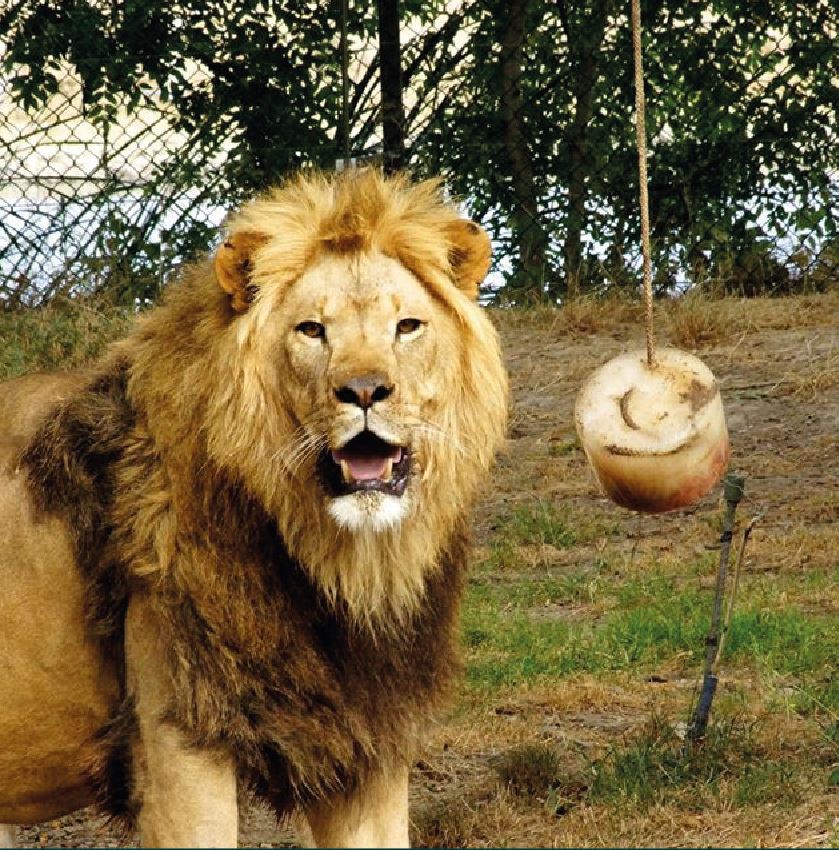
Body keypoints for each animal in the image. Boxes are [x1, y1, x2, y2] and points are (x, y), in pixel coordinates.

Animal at [0, 169, 506, 844]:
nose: (365, 390)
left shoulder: (366, 740)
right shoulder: (179, 738)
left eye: (407, 326)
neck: (337, 567)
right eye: (312, 330)